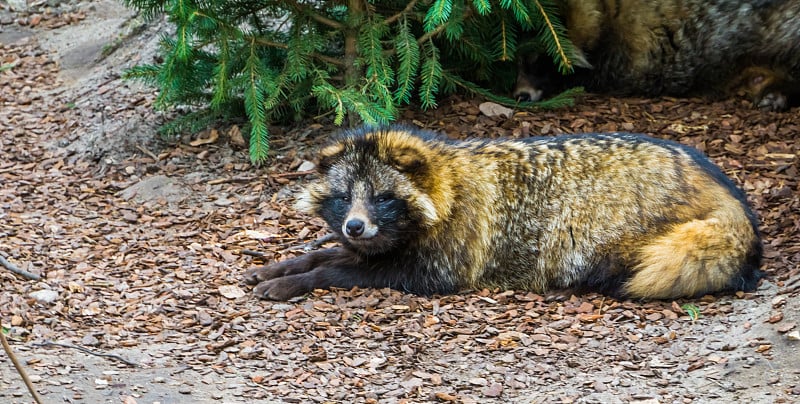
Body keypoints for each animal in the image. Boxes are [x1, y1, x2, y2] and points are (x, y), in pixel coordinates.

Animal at [244, 125, 764, 300]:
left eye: (382, 198)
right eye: (343, 198)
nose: (354, 226)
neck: (449, 186)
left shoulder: (439, 268)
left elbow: (337, 270)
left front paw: (297, 280)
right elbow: (328, 255)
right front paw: (285, 266)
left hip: (592, 227)